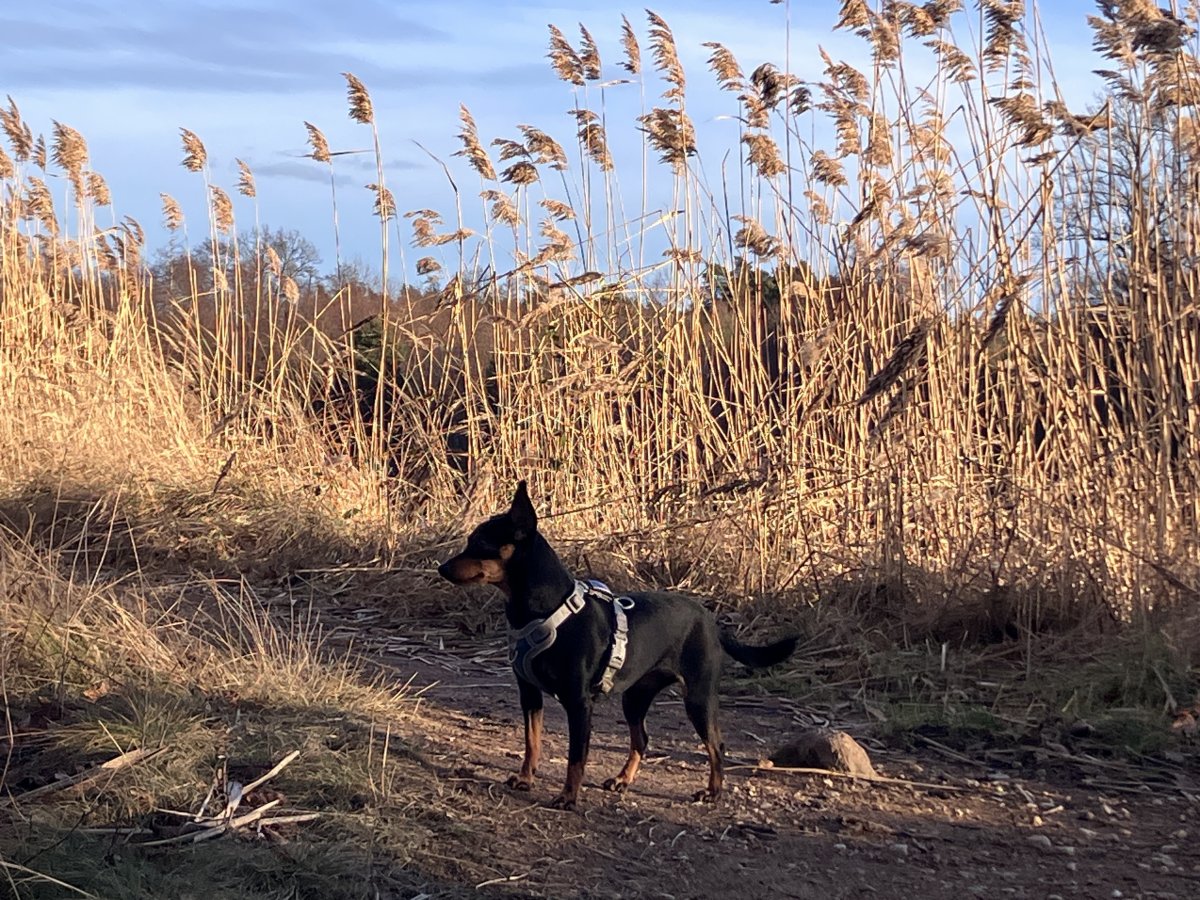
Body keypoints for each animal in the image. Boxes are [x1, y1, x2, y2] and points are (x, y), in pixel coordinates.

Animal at [437, 481, 797, 809]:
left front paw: (568, 797)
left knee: (715, 746)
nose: (441, 567)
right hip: (635, 698)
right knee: (642, 739)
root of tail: (710, 621)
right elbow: (532, 741)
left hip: (698, 697)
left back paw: (712, 791)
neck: (543, 611)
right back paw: (624, 779)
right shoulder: (529, 693)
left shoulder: (579, 703)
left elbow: (576, 757)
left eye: (479, 543)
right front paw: (526, 779)